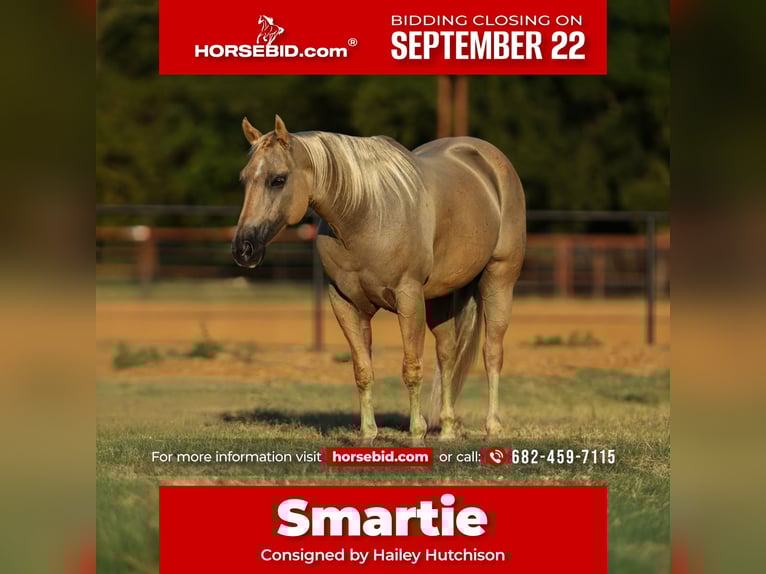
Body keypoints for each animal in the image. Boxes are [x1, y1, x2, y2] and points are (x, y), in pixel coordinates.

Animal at [233, 116, 526, 445]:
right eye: (244, 179)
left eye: (278, 179)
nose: (243, 249)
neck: (365, 213)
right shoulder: (345, 303)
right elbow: (363, 370)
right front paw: (368, 434)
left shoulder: (408, 298)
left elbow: (411, 368)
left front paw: (416, 434)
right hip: (440, 297)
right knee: (448, 353)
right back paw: (448, 429)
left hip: (499, 280)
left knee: (492, 352)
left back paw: (493, 427)